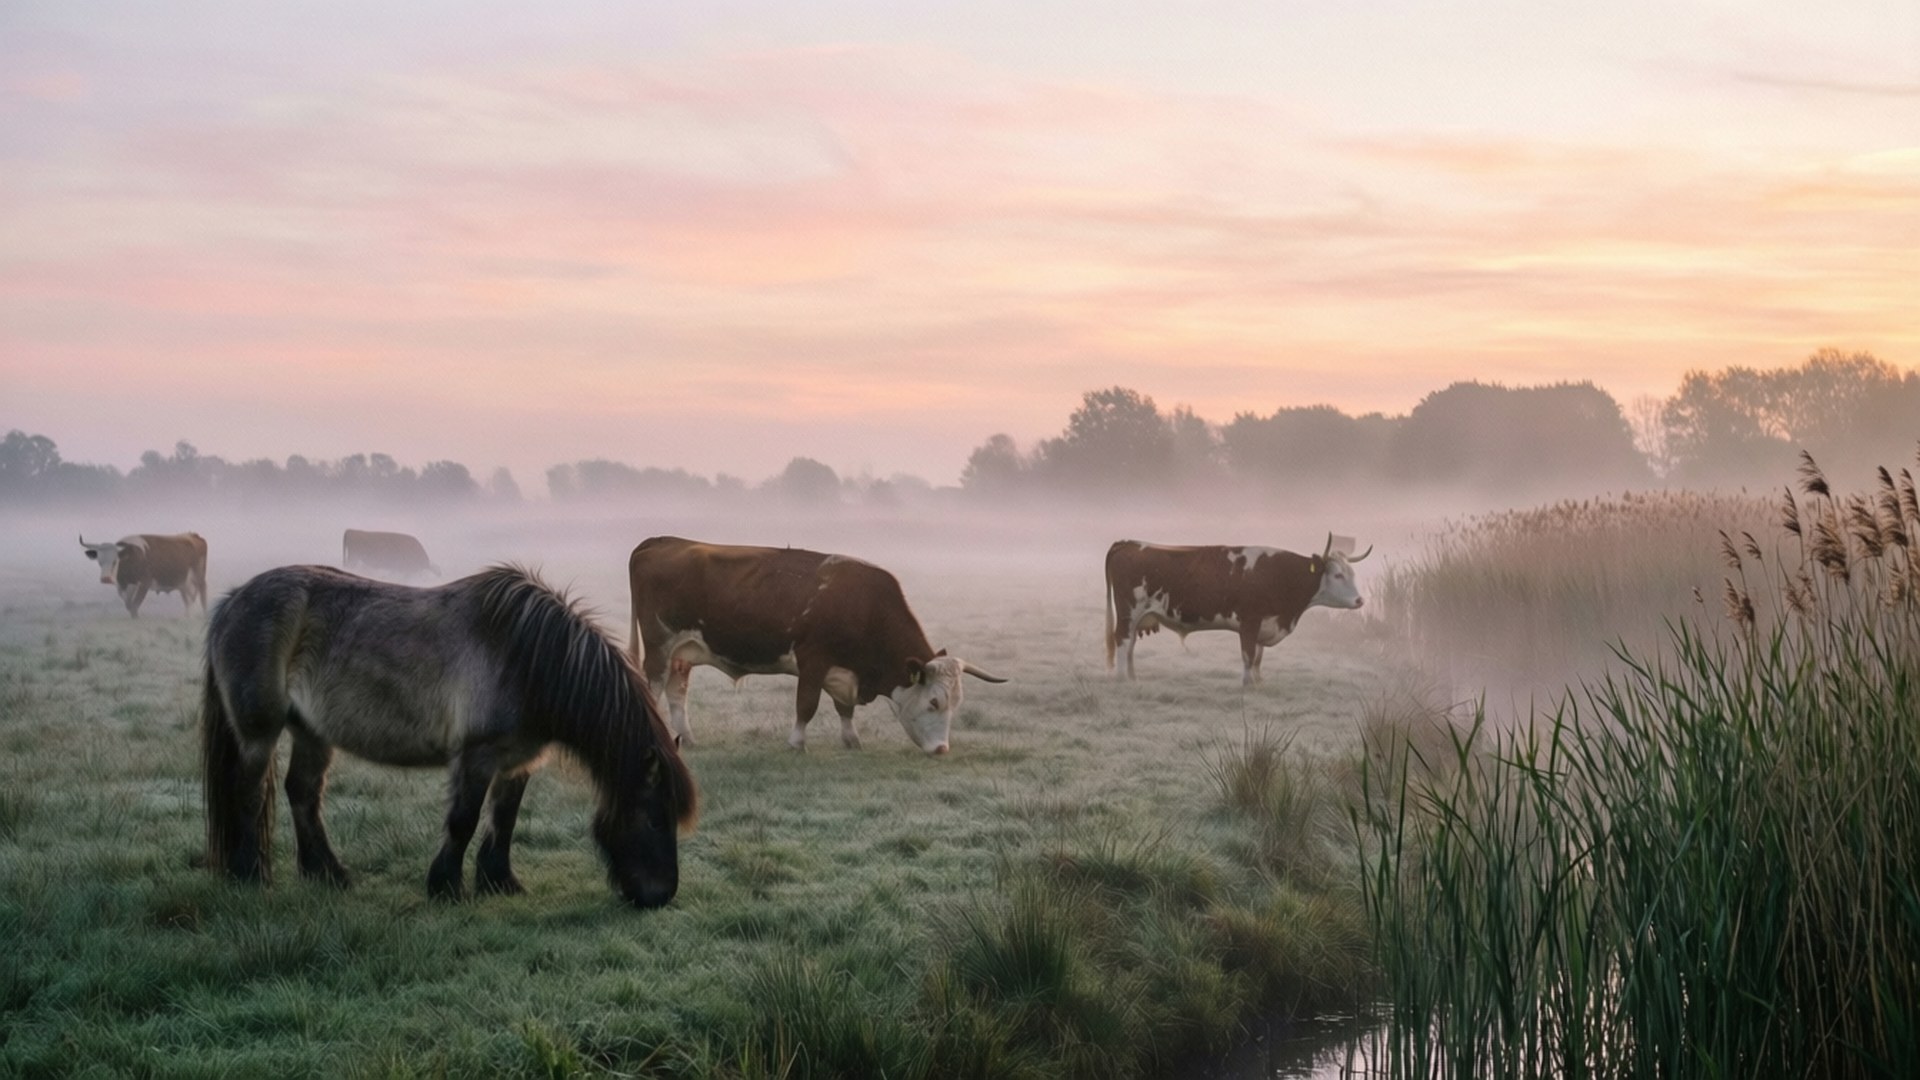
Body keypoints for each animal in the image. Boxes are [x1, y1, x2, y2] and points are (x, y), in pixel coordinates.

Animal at [201, 563, 698, 908]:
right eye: (655, 819)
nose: (659, 896)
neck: (527, 657)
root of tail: (234, 599)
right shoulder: (477, 755)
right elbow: (464, 819)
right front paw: (446, 887)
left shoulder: (518, 760)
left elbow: (504, 818)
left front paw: (500, 882)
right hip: (259, 733)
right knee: (248, 793)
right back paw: (250, 875)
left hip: (311, 731)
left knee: (302, 792)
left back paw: (327, 874)